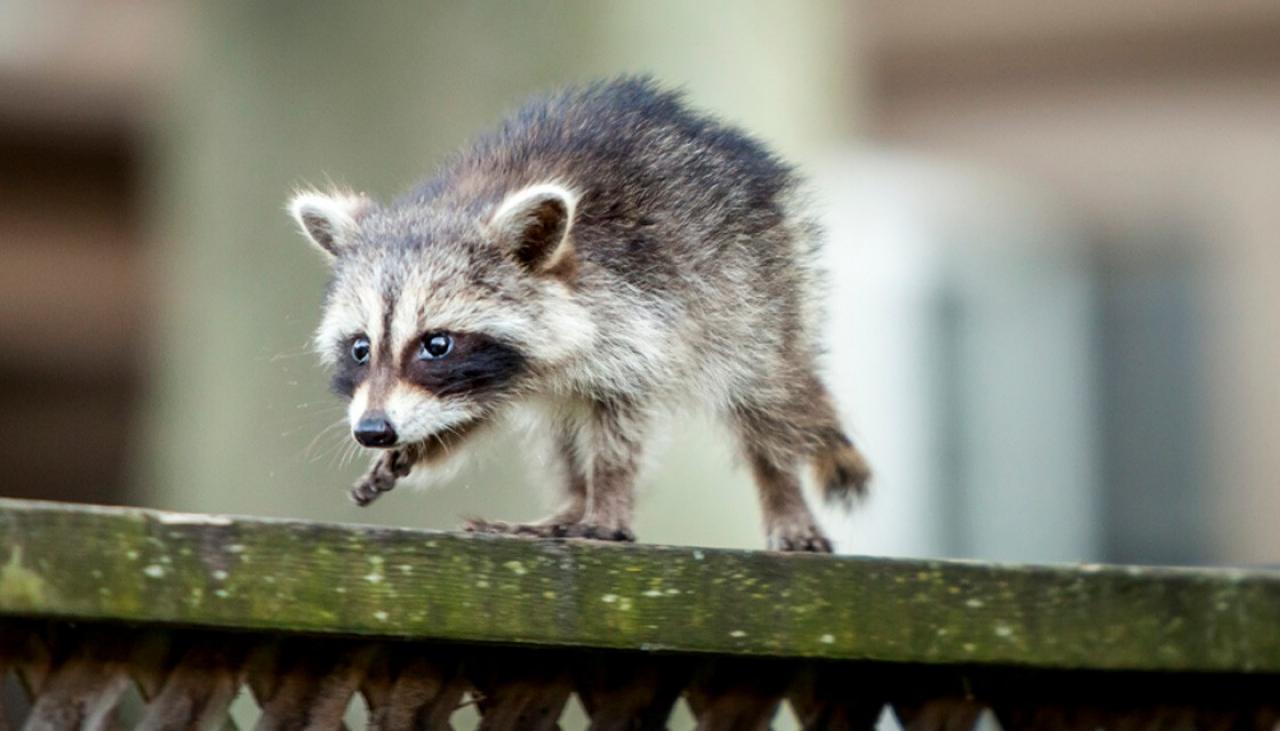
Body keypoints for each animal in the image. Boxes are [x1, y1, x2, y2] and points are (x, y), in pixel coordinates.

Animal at [288, 77, 870, 553]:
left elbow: (620, 424)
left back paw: (780, 490)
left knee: (769, 397)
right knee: (561, 432)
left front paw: (608, 499)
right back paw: (569, 503)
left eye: (436, 344)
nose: (373, 429)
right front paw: (423, 444)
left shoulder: (637, 317)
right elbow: (474, 414)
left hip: (759, 286)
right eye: (361, 348)